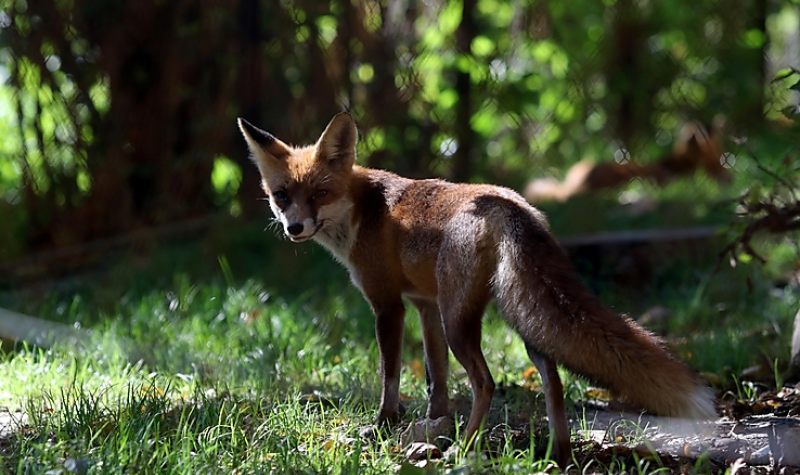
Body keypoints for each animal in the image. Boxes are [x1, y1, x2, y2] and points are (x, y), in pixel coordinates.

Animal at [236, 113, 712, 466]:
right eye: (282, 196)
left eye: (320, 193)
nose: (294, 228)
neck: (360, 212)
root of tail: (511, 205)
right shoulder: (424, 305)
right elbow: (436, 377)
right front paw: (433, 425)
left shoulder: (388, 305)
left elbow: (391, 375)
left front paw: (387, 424)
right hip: (518, 317)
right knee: (553, 379)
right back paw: (557, 453)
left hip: (462, 320)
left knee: (486, 382)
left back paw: (465, 449)